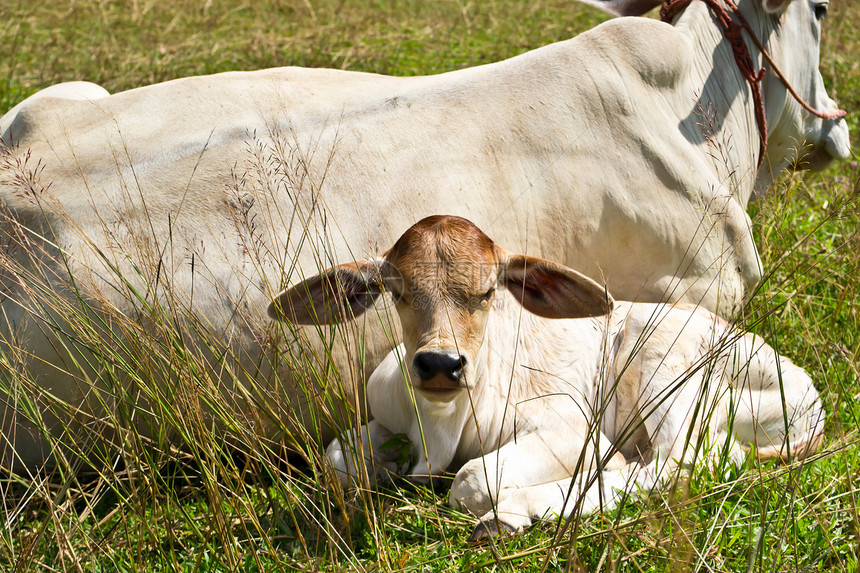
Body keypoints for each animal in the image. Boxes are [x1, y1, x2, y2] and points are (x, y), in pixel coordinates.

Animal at [272, 216, 824, 540]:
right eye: (397, 291)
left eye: (489, 291)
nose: (440, 364)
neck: (441, 425)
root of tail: (812, 399)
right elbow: (335, 459)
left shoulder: (569, 430)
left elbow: (471, 480)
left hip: (664, 369)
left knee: (681, 465)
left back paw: (515, 513)